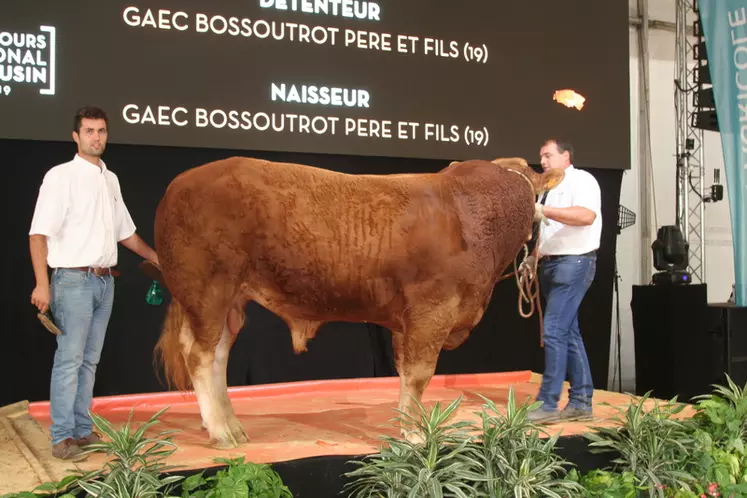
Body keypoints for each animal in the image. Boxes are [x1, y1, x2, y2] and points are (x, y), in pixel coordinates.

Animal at [152, 157, 560, 448]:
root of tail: (179, 183)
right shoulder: (432, 310)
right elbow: (419, 375)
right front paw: (414, 433)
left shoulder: (408, 322)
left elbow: (405, 374)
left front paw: (404, 424)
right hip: (208, 290)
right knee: (199, 355)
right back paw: (221, 431)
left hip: (230, 302)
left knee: (218, 355)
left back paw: (230, 424)